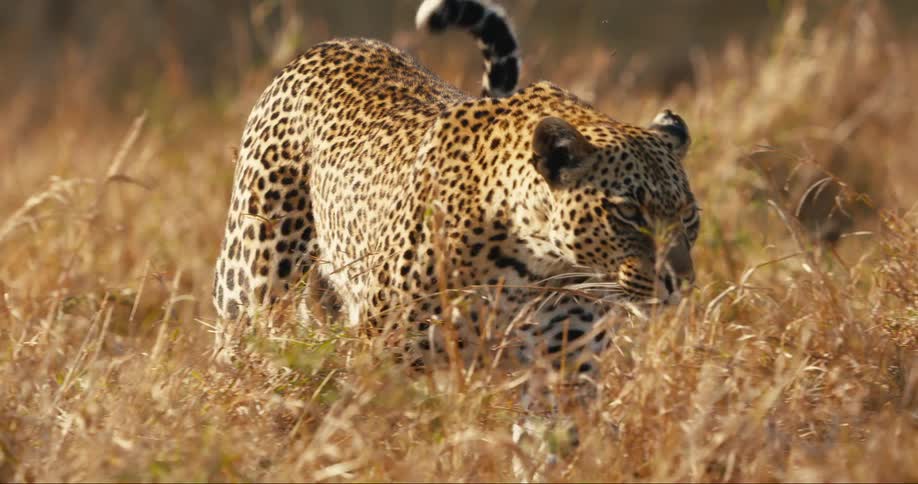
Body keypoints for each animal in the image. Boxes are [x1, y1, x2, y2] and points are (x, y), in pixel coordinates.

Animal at [212, 0, 700, 379]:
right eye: (629, 212)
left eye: (689, 217)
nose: (680, 281)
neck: (544, 268)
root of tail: (330, 44)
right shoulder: (388, 350)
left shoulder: (566, 367)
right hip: (252, 278)